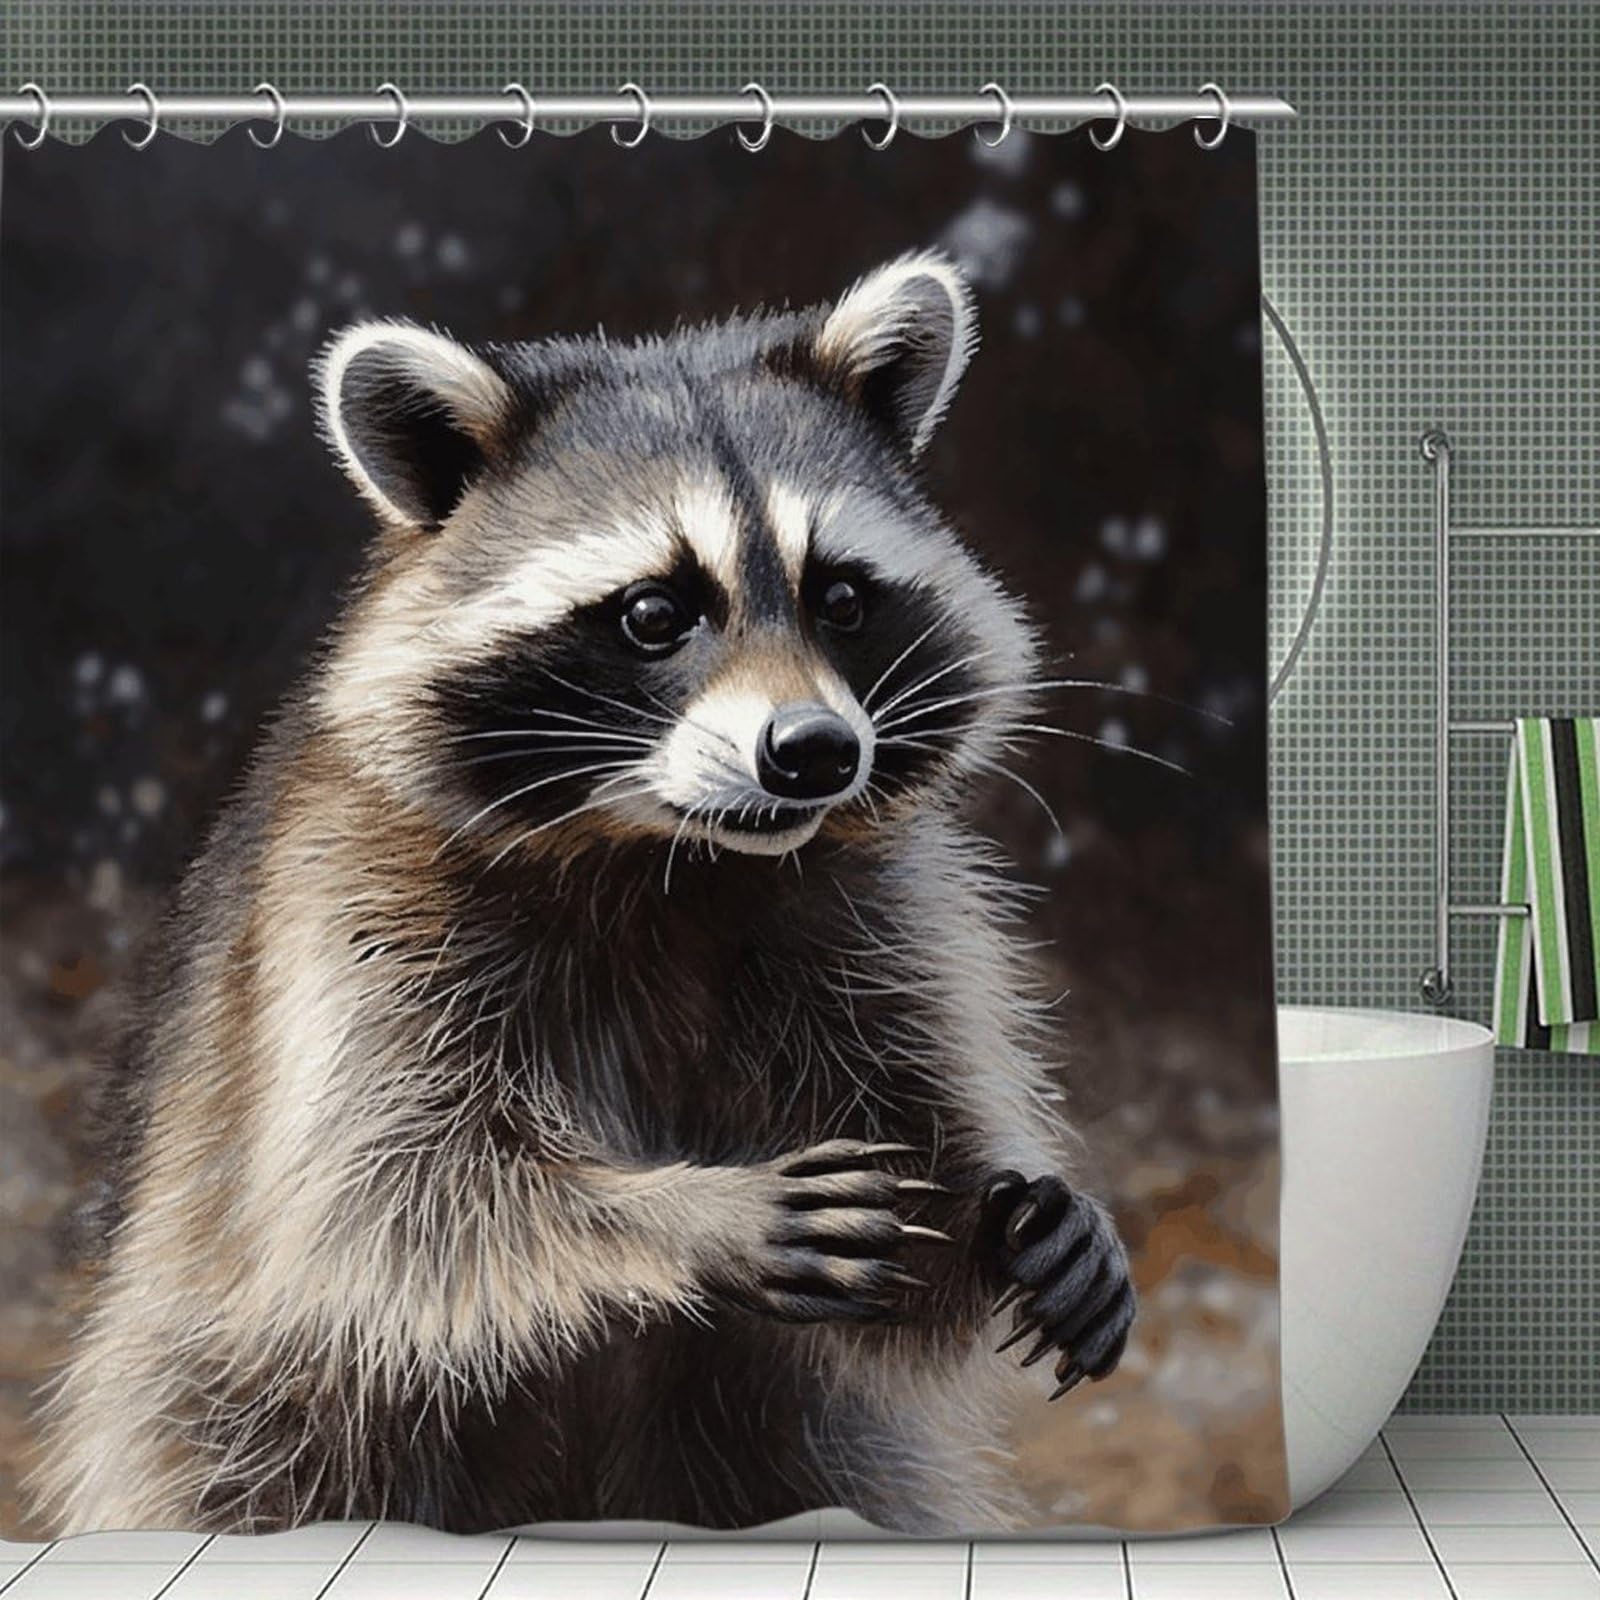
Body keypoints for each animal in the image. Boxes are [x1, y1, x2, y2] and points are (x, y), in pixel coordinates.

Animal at [33, 251, 1135, 1537]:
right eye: (655, 612)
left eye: (842, 599)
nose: (814, 752)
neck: (672, 857)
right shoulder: (351, 910)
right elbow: (379, 1204)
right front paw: (686, 1213)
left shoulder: (870, 911)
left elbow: (915, 1167)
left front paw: (1009, 1216)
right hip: (225, 1414)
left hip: (785, 1443)